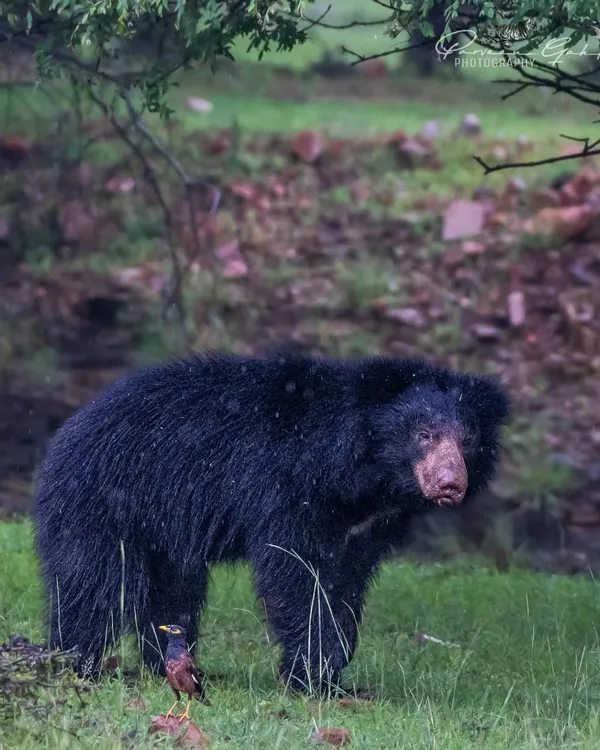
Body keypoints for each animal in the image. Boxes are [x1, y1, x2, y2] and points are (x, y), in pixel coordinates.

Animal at [33, 352, 510, 694]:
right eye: (424, 435)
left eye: (467, 440)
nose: (451, 484)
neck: (366, 479)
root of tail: (65, 433)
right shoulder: (291, 489)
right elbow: (296, 574)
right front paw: (313, 677)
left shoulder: (365, 525)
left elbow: (346, 584)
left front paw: (336, 672)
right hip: (105, 503)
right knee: (96, 586)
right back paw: (77, 664)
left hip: (163, 532)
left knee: (174, 595)